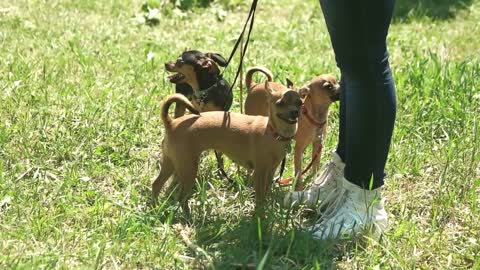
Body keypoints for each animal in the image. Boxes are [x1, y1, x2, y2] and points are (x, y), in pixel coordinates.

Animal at [152, 81, 302, 214]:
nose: (295, 112)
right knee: (182, 197)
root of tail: (171, 123)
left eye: (300, 103)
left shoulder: (270, 171)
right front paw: (260, 216)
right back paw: (187, 216)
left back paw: (155, 207)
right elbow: (259, 197)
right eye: (280, 103)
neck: (273, 132)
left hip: (171, 163)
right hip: (188, 168)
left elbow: (265, 192)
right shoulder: (259, 173)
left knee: (156, 184)